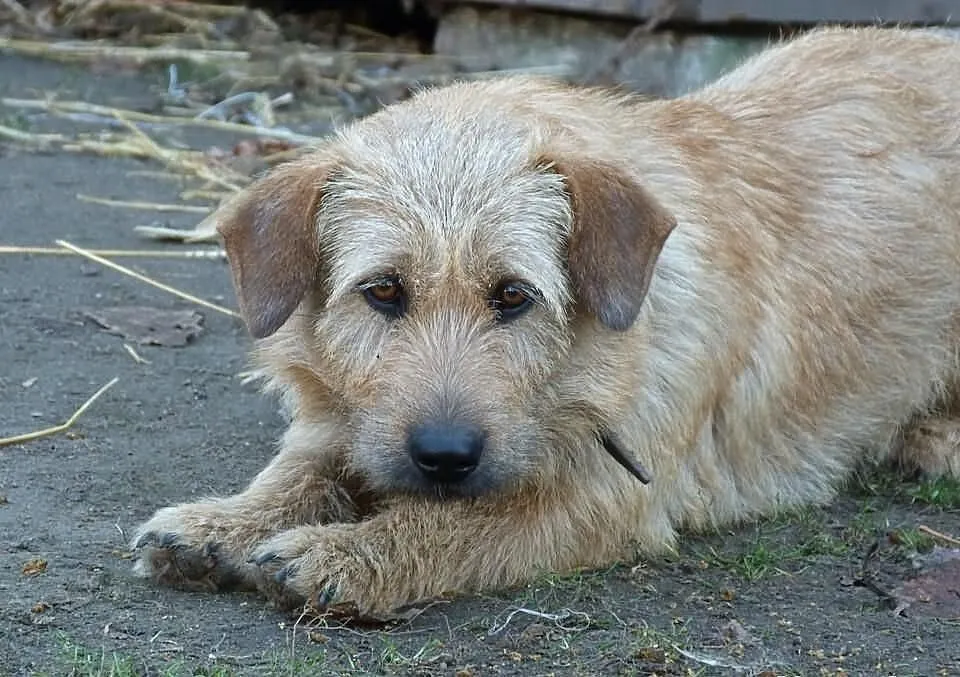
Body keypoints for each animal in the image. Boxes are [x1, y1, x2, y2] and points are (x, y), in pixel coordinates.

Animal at [131, 26, 960, 618]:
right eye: (384, 290)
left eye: (512, 295)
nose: (444, 455)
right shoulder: (354, 423)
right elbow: (302, 466)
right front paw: (221, 521)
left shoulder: (601, 500)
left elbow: (459, 523)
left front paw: (350, 553)